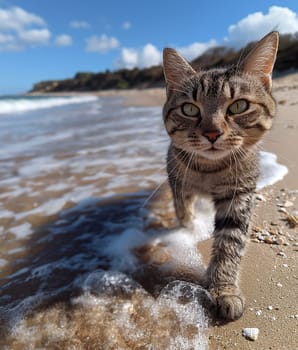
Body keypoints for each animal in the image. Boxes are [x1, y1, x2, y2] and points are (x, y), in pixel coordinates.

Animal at [162, 31, 278, 322]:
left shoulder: (239, 195)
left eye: (239, 106)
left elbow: (230, 242)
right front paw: (187, 228)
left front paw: (224, 289)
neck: (208, 170)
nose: (212, 133)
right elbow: (183, 209)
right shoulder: (177, 181)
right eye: (190, 109)